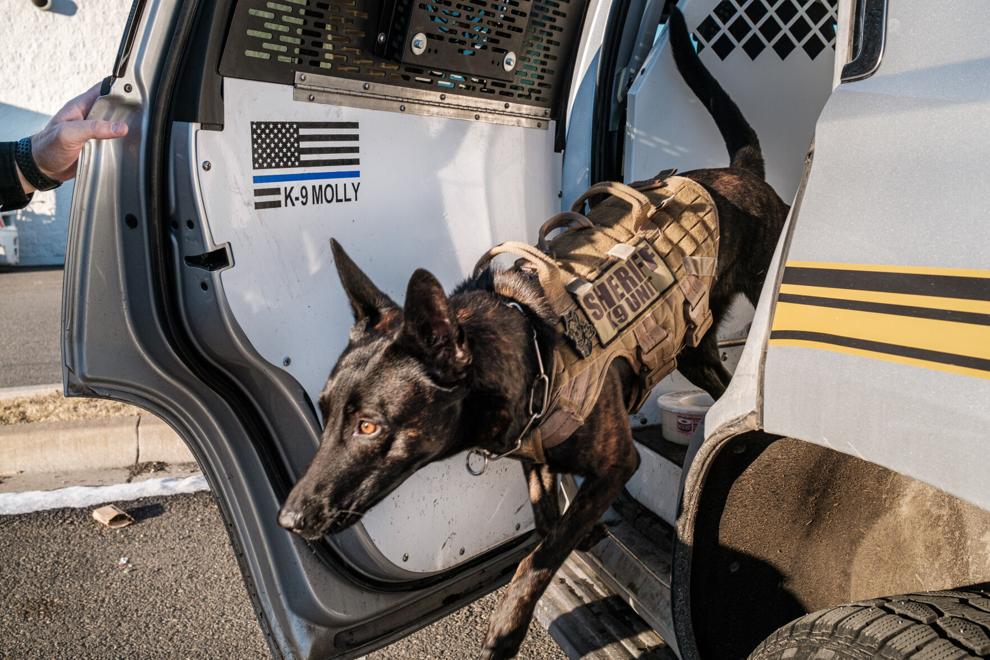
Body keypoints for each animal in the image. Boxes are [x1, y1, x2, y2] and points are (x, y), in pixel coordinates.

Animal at [280, 7, 792, 656]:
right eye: (324, 414)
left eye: (370, 426)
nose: (290, 521)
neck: (532, 344)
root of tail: (736, 173)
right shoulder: (538, 461)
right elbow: (550, 525)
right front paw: (583, 539)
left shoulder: (616, 463)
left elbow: (538, 556)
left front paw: (508, 624)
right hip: (697, 352)